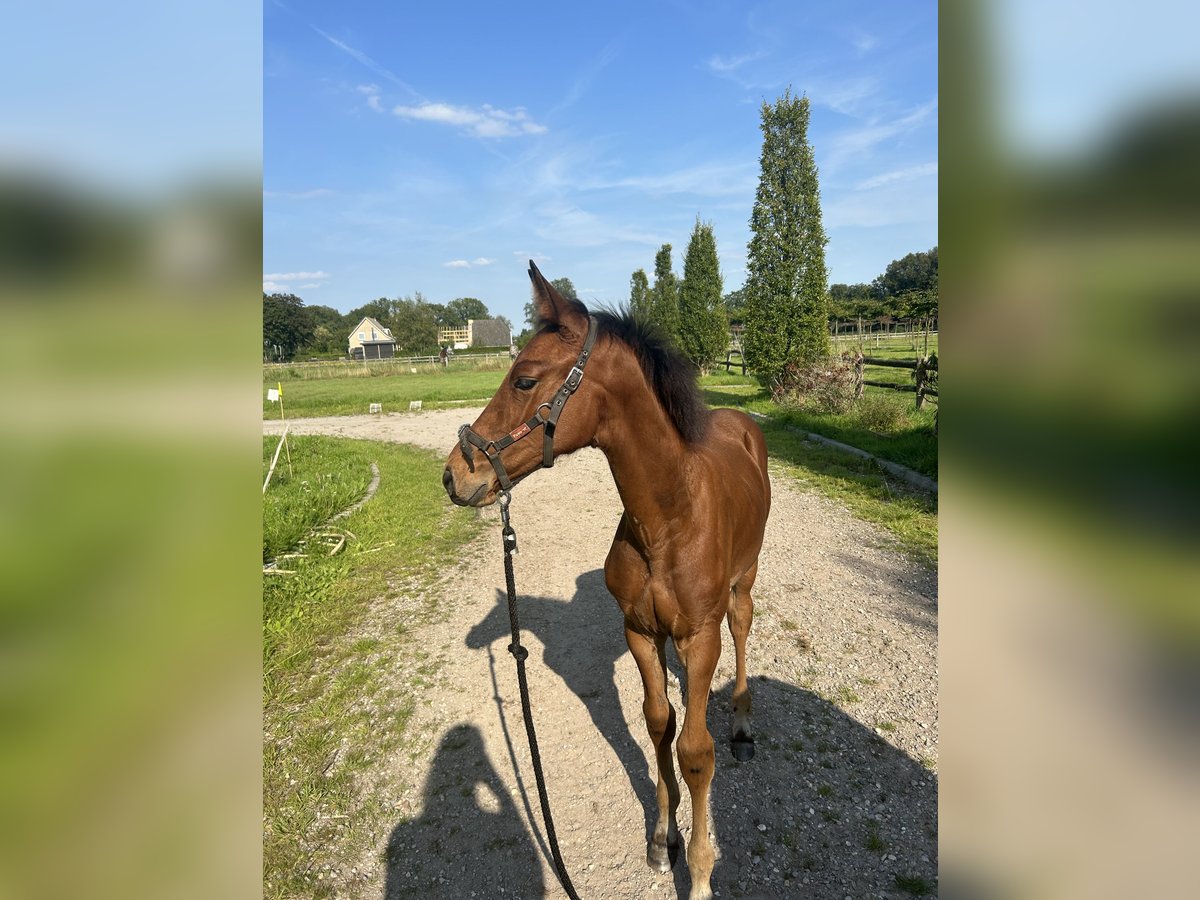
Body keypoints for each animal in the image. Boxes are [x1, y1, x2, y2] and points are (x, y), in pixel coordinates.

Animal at [441, 262, 768, 900]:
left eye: (524, 379)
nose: (454, 475)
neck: (667, 519)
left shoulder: (699, 638)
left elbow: (696, 750)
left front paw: (700, 873)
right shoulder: (640, 632)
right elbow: (660, 725)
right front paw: (662, 838)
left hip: (744, 580)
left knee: (742, 628)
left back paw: (741, 722)